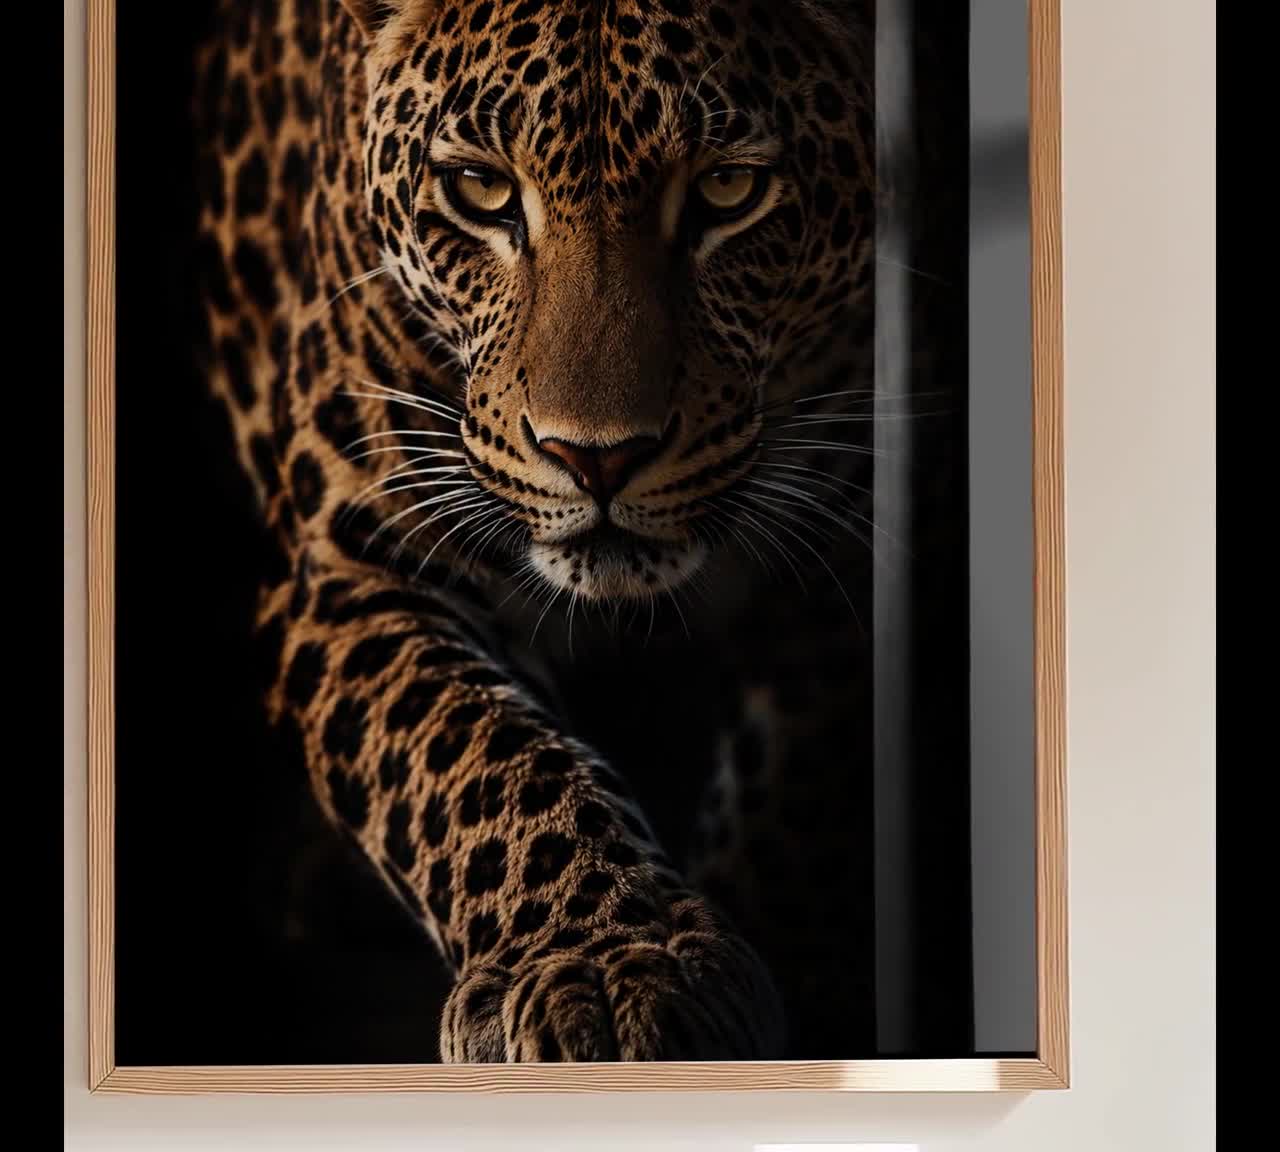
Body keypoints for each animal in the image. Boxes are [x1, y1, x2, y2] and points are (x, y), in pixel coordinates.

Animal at [192, 0, 886, 1062]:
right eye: (481, 190)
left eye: (727, 188)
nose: (598, 458)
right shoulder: (359, 558)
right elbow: (477, 753)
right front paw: (604, 960)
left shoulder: (846, 543)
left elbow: (801, 807)